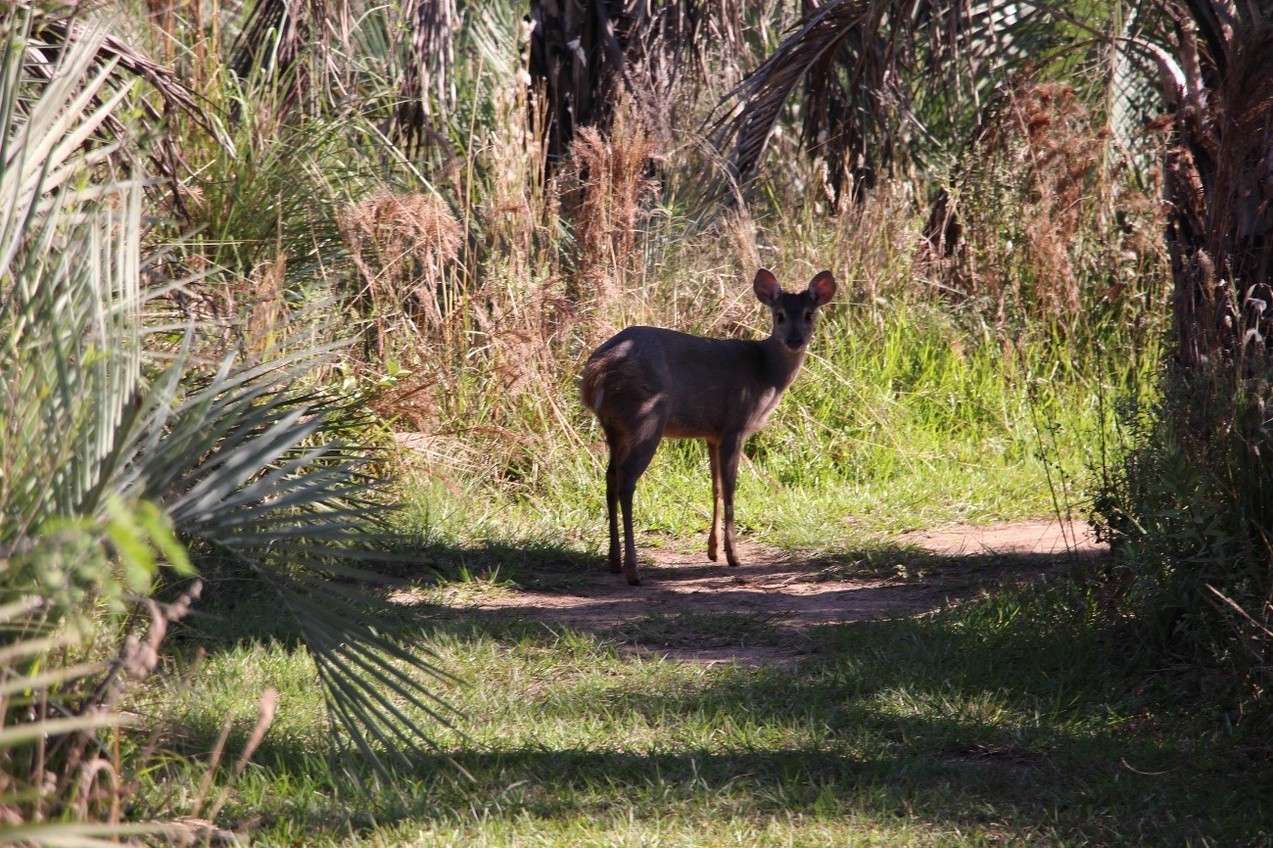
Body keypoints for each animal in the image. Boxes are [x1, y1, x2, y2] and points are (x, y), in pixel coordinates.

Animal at [580, 267, 835, 585]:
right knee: (626, 480)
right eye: (779, 315)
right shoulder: (735, 424)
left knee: (610, 478)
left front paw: (713, 550)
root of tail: (596, 374)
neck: (765, 373)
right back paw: (633, 570)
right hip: (646, 417)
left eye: (809, 314)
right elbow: (731, 487)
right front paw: (733, 555)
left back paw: (614, 561)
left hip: (614, 427)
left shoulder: (713, 433)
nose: (795, 339)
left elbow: (714, 486)